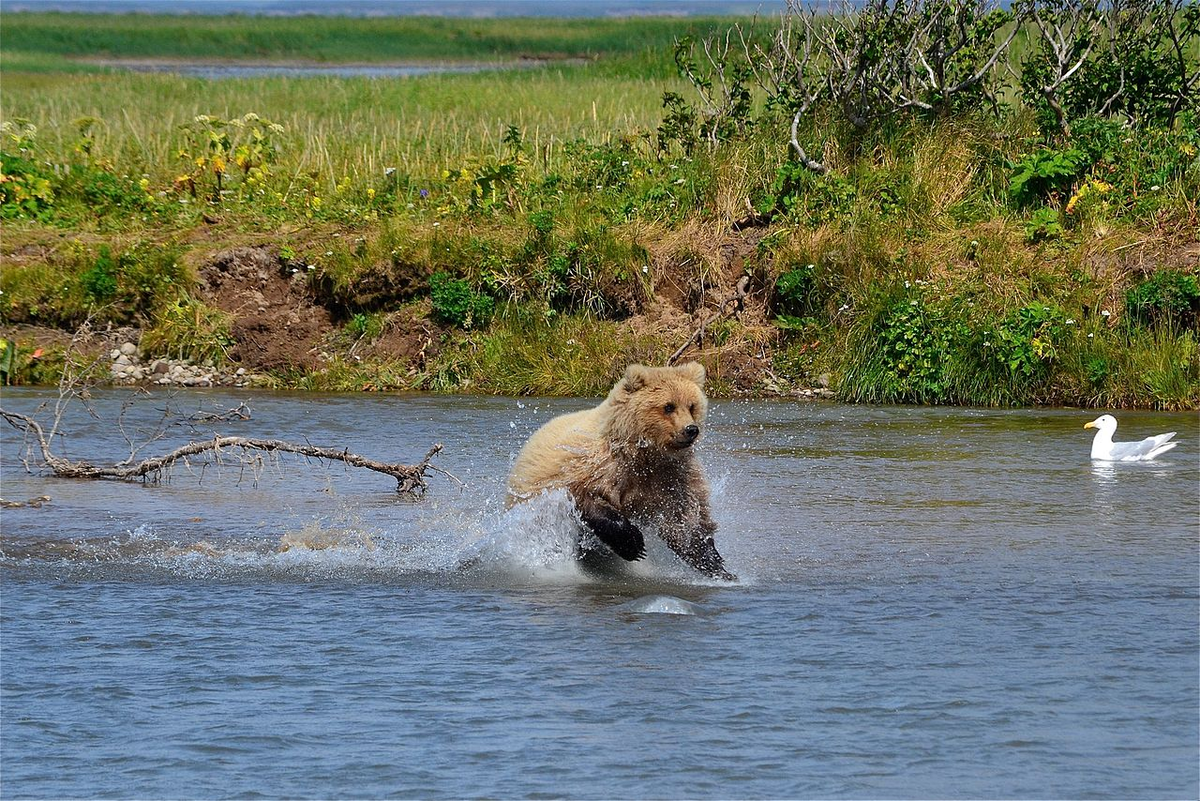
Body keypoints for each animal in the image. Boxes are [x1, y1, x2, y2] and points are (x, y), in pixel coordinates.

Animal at [504, 364, 734, 582]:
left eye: (692, 406)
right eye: (669, 406)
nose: (690, 430)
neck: (645, 454)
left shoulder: (673, 477)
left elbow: (685, 521)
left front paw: (719, 567)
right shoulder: (602, 468)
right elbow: (589, 499)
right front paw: (634, 544)